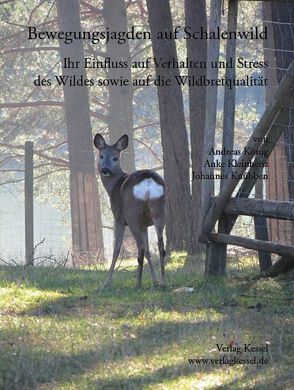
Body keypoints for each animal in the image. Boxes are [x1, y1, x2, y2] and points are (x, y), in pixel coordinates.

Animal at [95, 134, 167, 290]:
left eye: (115, 157)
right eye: (101, 155)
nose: (105, 169)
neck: (113, 187)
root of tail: (148, 182)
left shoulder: (119, 217)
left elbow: (116, 249)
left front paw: (106, 283)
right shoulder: (145, 225)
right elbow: (148, 251)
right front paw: (154, 281)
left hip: (132, 213)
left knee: (140, 248)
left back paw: (138, 284)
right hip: (159, 210)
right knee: (160, 246)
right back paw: (163, 282)